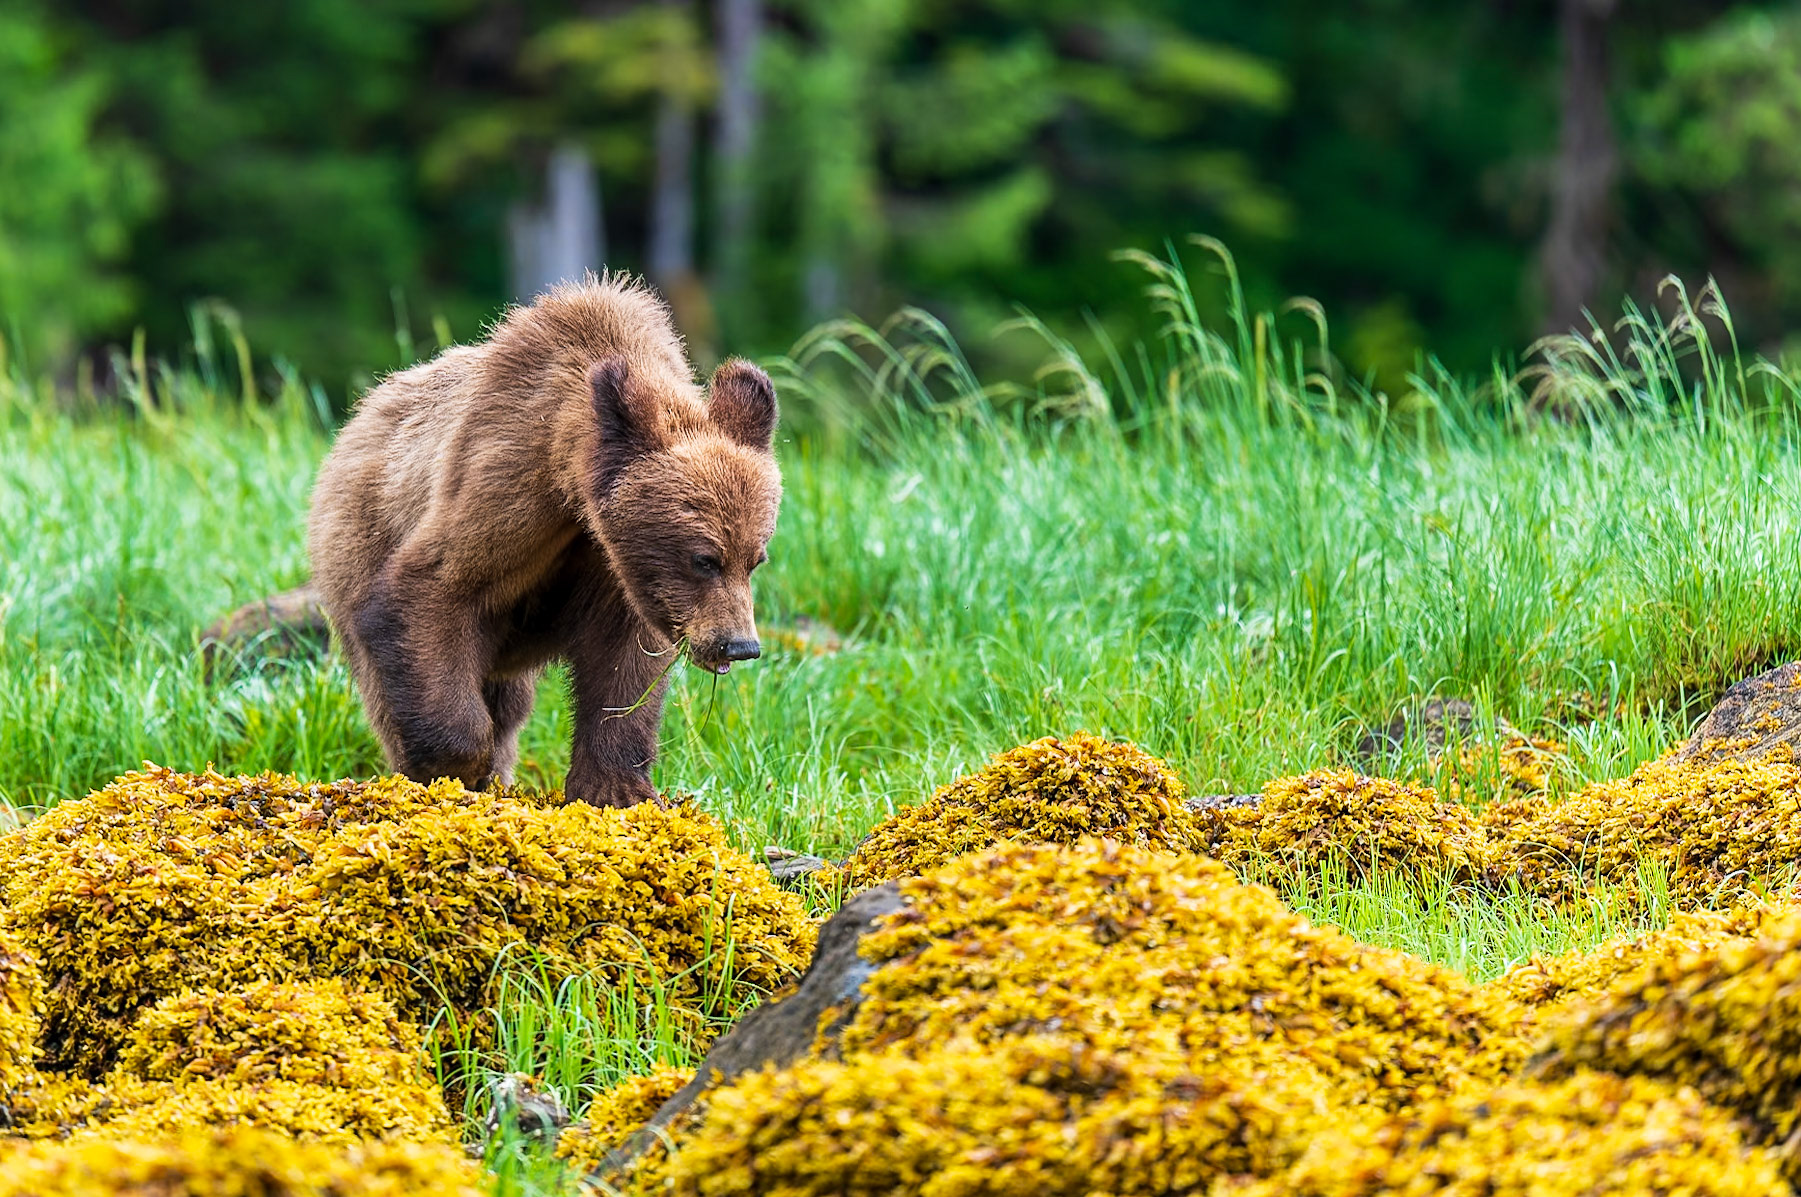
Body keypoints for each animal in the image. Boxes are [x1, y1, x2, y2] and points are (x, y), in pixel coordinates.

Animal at [306, 274, 780, 807]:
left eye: (755, 559)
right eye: (704, 559)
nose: (739, 645)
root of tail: (357, 419)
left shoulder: (614, 569)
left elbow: (624, 669)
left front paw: (617, 786)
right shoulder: (507, 484)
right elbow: (432, 589)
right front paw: (457, 764)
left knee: (509, 699)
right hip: (357, 541)